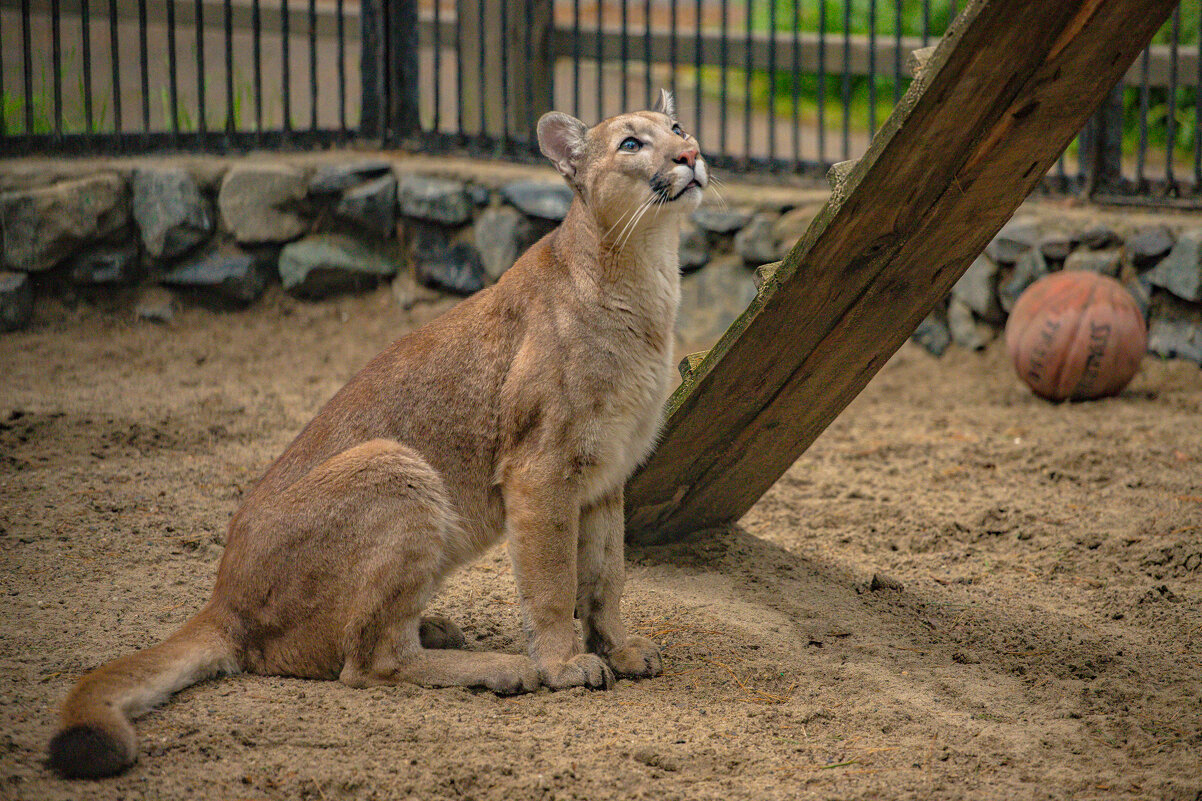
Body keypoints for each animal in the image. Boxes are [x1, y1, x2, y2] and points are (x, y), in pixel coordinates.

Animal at [49, 90, 701, 774]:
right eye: (631, 144)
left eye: (677, 127)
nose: (690, 155)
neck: (643, 268)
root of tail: (224, 597)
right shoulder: (541, 471)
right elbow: (553, 580)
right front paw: (563, 664)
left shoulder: (605, 474)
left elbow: (606, 575)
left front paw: (618, 650)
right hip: (395, 463)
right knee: (366, 662)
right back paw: (499, 667)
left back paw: (439, 630)